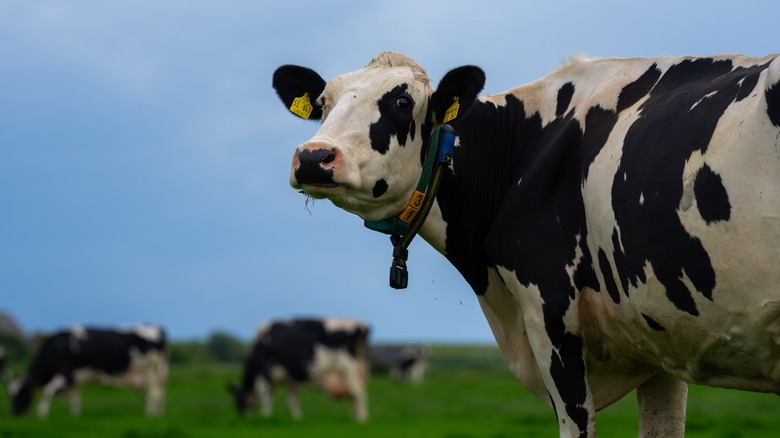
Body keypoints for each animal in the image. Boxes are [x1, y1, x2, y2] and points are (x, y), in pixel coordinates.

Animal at [8, 326, 168, 418]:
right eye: (10, 394)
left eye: (21, 393)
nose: (13, 414)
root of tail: (155, 328)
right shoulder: (74, 378)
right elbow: (75, 396)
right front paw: (75, 416)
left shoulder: (66, 373)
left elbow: (49, 390)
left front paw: (42, 414)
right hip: (156, 371)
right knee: (159, 392)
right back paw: (158, 413)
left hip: (150, 369)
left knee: (153, 392)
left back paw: (150, 414)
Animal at [227, 318, 370, 420]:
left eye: (238, 400)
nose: (241, 416)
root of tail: (359, 326)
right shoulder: (289, 378)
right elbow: (291, 399)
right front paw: (298, 418)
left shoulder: (264, 371)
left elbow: (266, 395)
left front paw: (266, 416)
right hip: (355, 370)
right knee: (354, 393)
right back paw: (352, 416)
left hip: (348, 368)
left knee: (358, 393)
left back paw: (361, 419)